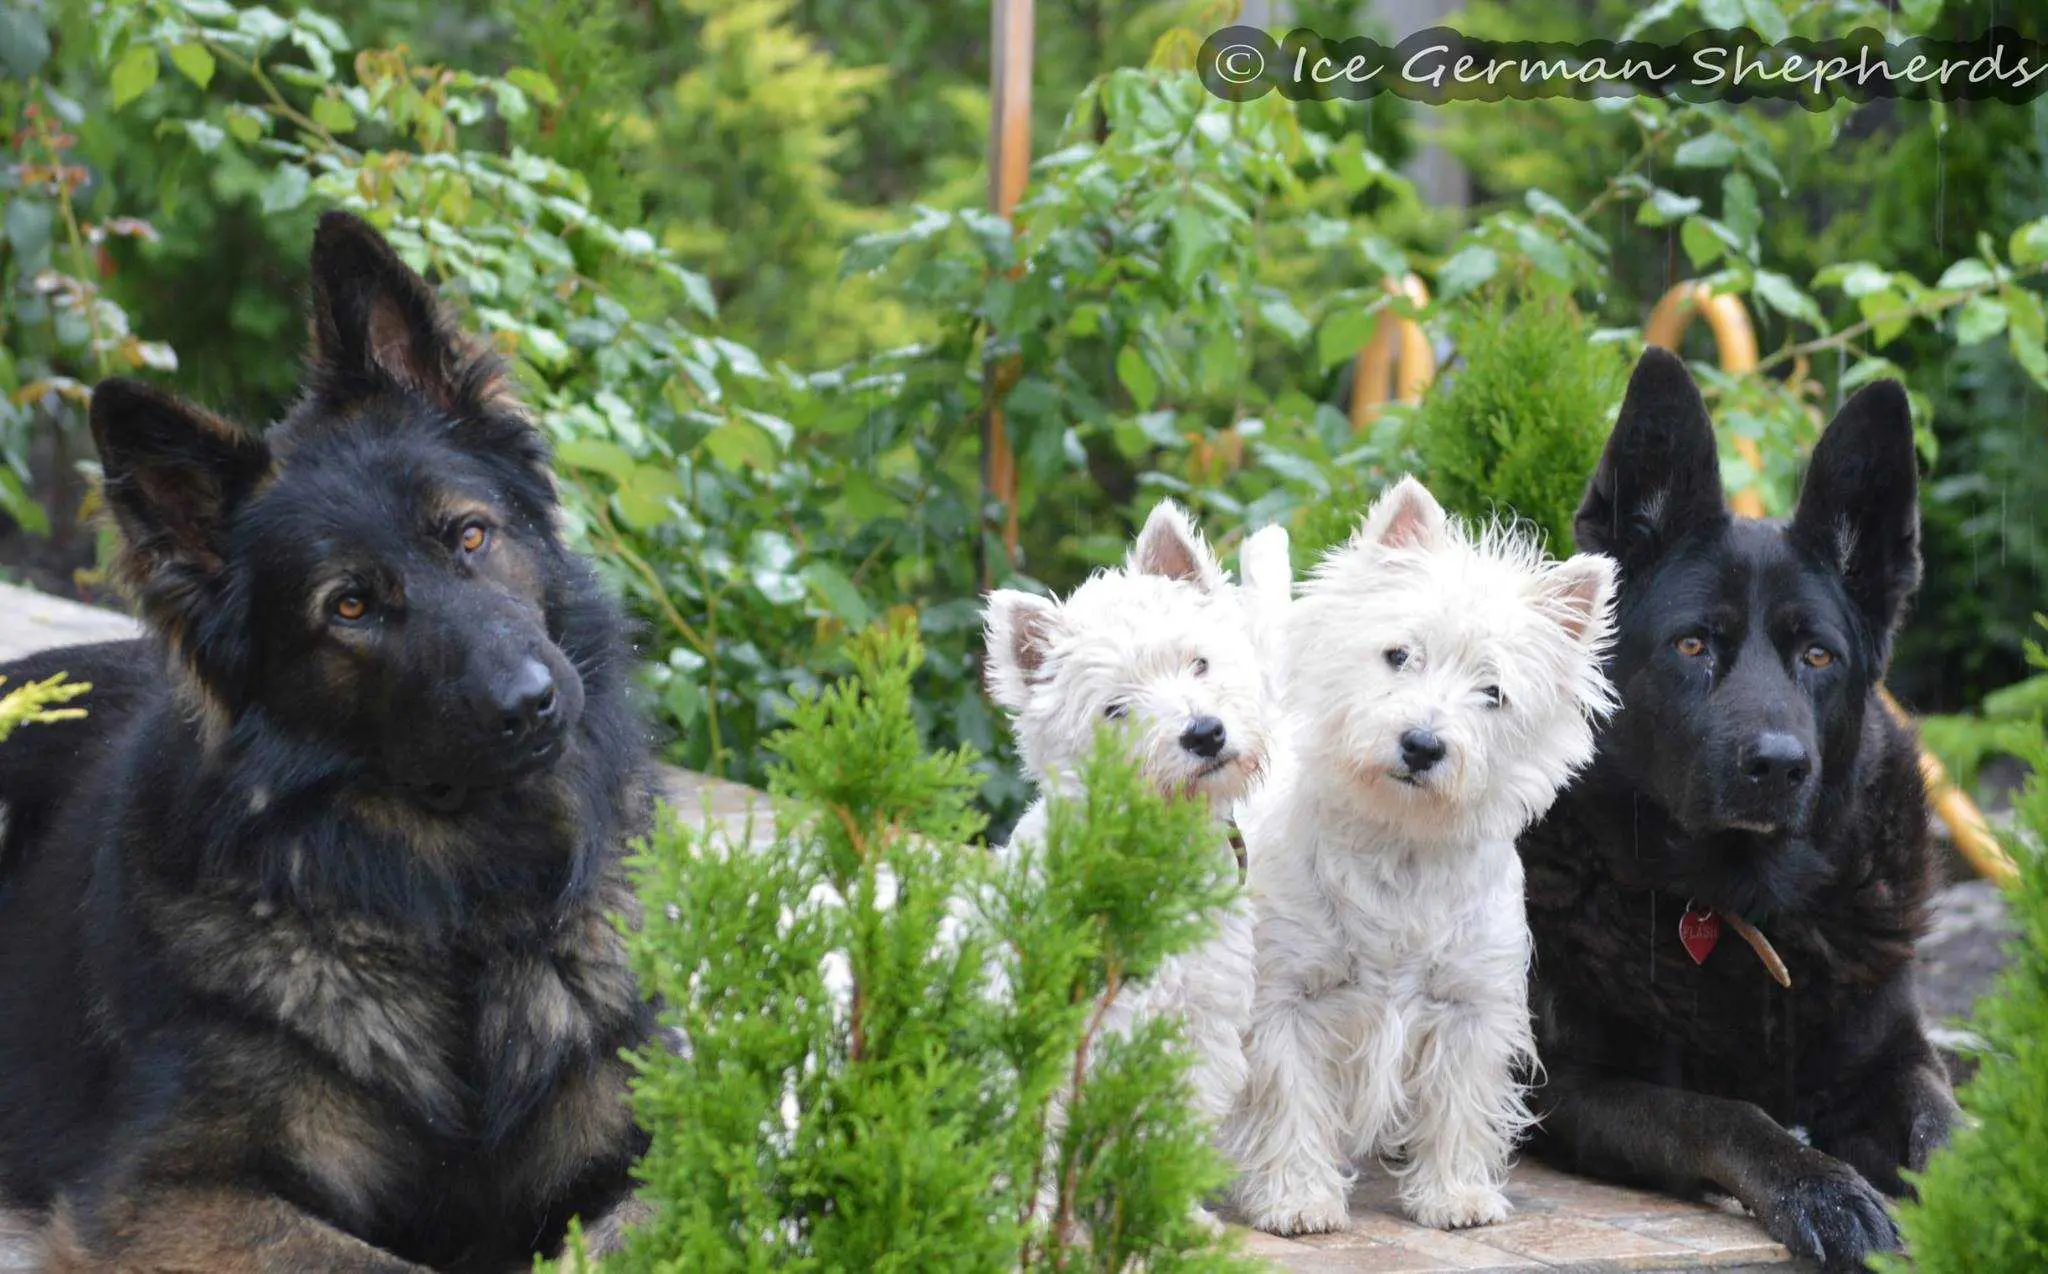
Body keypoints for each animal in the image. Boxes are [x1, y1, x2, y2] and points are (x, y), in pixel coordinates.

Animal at [1223, 477, 1617, 1236]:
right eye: (1399, 655)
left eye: (1494, 693)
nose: (1423, 744)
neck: (1400, 846)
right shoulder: (1285, 996)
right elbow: (1290, 1097)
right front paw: (1298, 1199)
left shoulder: (1471, 1001)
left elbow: (1461, 1099)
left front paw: (1456, 1196)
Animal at [1517, 349, 1959, 1271]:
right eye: (1694, 645)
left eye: (1818, 656)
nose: (1779, 767)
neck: (1739, 911)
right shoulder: (1570, 1085)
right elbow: (1722, 1113)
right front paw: (1825, 1191)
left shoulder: (1895, 1057)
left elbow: (1947, 1122)